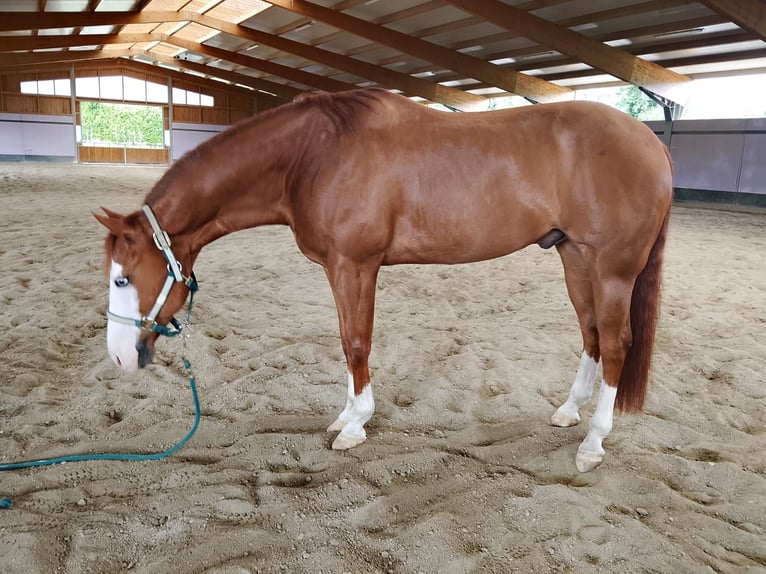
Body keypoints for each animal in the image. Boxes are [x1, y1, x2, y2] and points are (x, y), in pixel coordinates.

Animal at [94, 88, 673, 473]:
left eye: (124, 279)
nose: (120, 357)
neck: (312, 155)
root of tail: (651, 142)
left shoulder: (356, 264)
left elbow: (357, 342)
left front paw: (355, 426)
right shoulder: (339, 268)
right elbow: (345, 342)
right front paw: (344, 415)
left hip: (613, 268)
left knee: (616, 342)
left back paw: (594, 442)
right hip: (575, 258)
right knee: (591, 333)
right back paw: (569, 412)